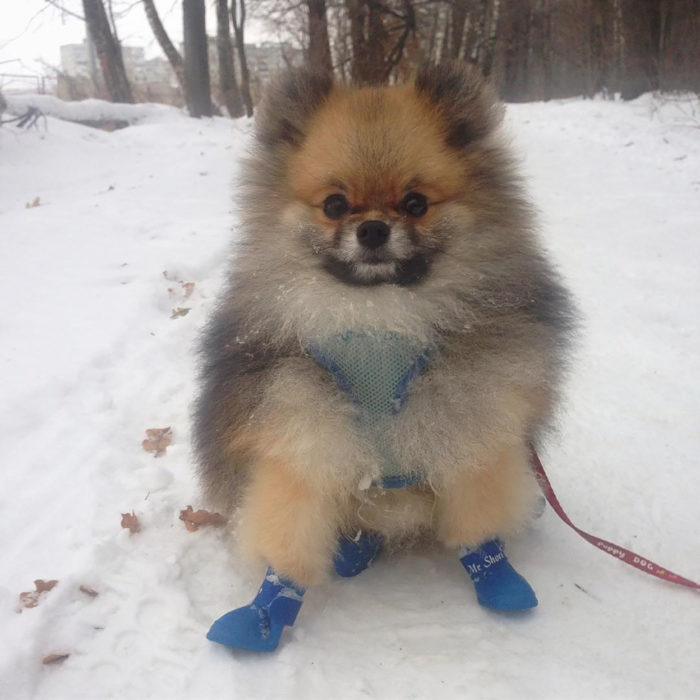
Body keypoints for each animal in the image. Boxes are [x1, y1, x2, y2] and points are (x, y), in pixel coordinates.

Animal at [194, 63, 572, 652]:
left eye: (415, 203)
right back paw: (350, 551)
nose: (372, 228)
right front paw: (267, 609)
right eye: (335, 205)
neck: (378, 315)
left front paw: (494, 571)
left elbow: (477, 516)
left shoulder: (470, 422)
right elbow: (290, 531)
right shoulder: (299, 430)